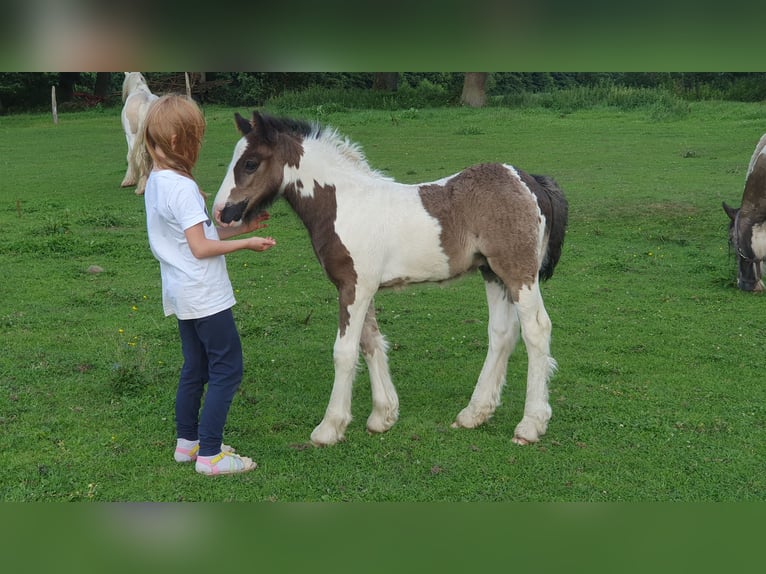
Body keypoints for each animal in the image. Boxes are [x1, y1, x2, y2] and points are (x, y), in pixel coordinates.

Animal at [213, 111, 568, 447]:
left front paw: (329, 428)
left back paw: (530, 425)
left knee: (536, 330)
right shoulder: (362, 286)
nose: (220, 213)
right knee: (502, 333)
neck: (344, 203)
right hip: (492, 273)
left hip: (518, 273)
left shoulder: (354, 287)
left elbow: (345, 351)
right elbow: (371, 343)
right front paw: (382, 416)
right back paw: (474, 414)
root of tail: (529, 181)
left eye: (250, 163)